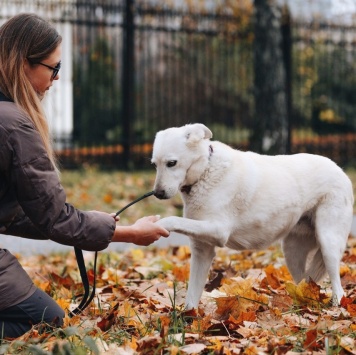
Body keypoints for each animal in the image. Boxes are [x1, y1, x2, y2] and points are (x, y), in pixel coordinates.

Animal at [152, 124, 354, 310]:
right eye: (155, 164)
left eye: (171, 163)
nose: (157, 193)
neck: (205, 171)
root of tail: (340, 170)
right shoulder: (202, 250)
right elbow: (192, 295)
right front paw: (189, 319)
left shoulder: (218, 230)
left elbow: (173, 220)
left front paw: (159, 224)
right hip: (292, 251)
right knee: (302, 282)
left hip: (328, 243)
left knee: (338, 286)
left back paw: (336, 305)